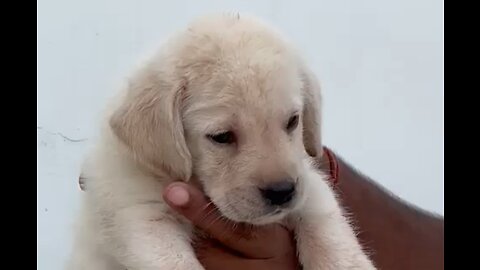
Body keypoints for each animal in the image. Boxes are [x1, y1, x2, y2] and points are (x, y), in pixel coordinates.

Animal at [67, 14, 376, 270]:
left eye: (292, 121)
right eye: (222, 137)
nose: (282, 192)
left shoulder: (309, 184)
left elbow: (327, 228)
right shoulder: (139, 214)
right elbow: (173, 261)